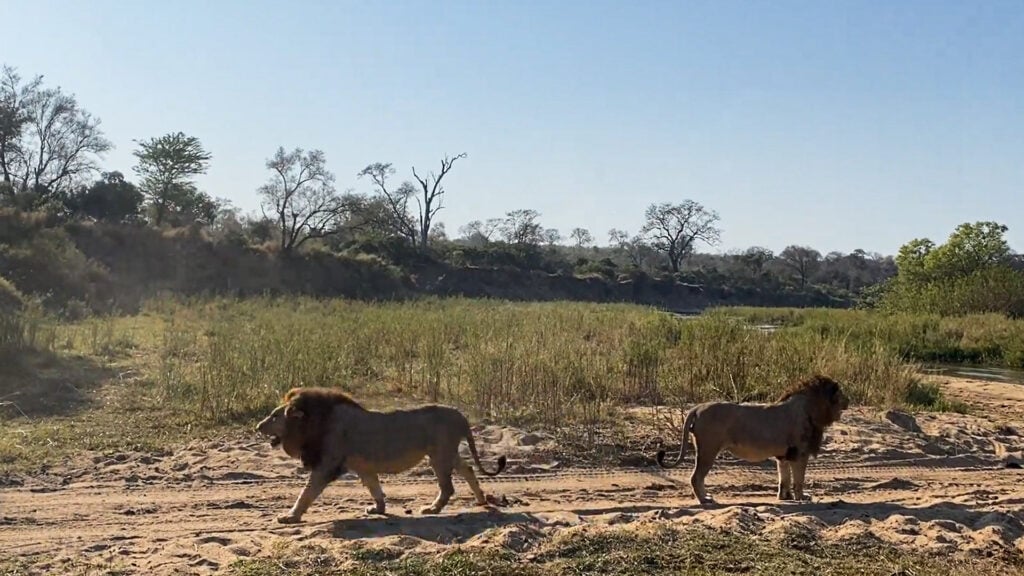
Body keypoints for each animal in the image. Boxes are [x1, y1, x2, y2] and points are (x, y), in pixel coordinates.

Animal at [255, 387, 507, 524]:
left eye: (274, 416)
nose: (257, 426)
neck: (311, 423)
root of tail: (461, 416)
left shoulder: (327, 465)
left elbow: (306, 493)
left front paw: (290, 517)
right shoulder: (362, 467)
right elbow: (374, 488)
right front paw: (378, 509)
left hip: (439, 455)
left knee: (448, 487)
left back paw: (432, 509)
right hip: (447, 453)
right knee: (468, 469)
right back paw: (481, 500)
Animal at [655, 374, 849, 505]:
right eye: (840, 393)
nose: (849, 400)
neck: (812, 408)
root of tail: (698, 407)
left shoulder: (785, 455)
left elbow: (784, 478)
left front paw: (784, 497)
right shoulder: (800, 453)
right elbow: (799, 480)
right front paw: (802, 497)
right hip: (708, 450)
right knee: (696, 477)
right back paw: (705, 499)